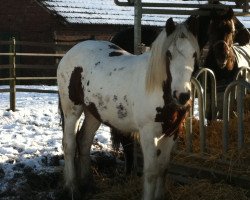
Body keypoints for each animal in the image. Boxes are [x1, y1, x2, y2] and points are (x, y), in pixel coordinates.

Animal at [56, 17, 199, 200]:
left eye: (193, 54)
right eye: (169, 54)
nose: (182, 96)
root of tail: (71, 51)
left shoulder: (171, 132)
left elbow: (163, 169)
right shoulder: (148, 134)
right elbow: (151, 172)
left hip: (93, 113)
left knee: (84, 141)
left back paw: (87, 185)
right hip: (71, 110)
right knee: (69, 144)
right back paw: (73, 188)